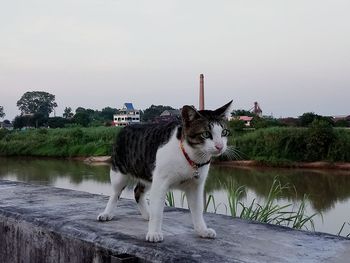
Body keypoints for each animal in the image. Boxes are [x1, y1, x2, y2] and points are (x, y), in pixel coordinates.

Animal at [97, 101, 232, 243]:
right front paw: (154, 233)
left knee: (137, 191)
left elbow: (198, 210)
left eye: (224, 132)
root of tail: (126, 127)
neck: (190, 156)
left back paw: (147, 214)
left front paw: (202, 230)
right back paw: (107, 213)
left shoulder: (195, 186)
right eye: (206, 134)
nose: (220, 146)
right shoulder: (160, 183)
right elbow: (157, 211)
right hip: (119, 173)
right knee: (115, 193)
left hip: (147, 174)